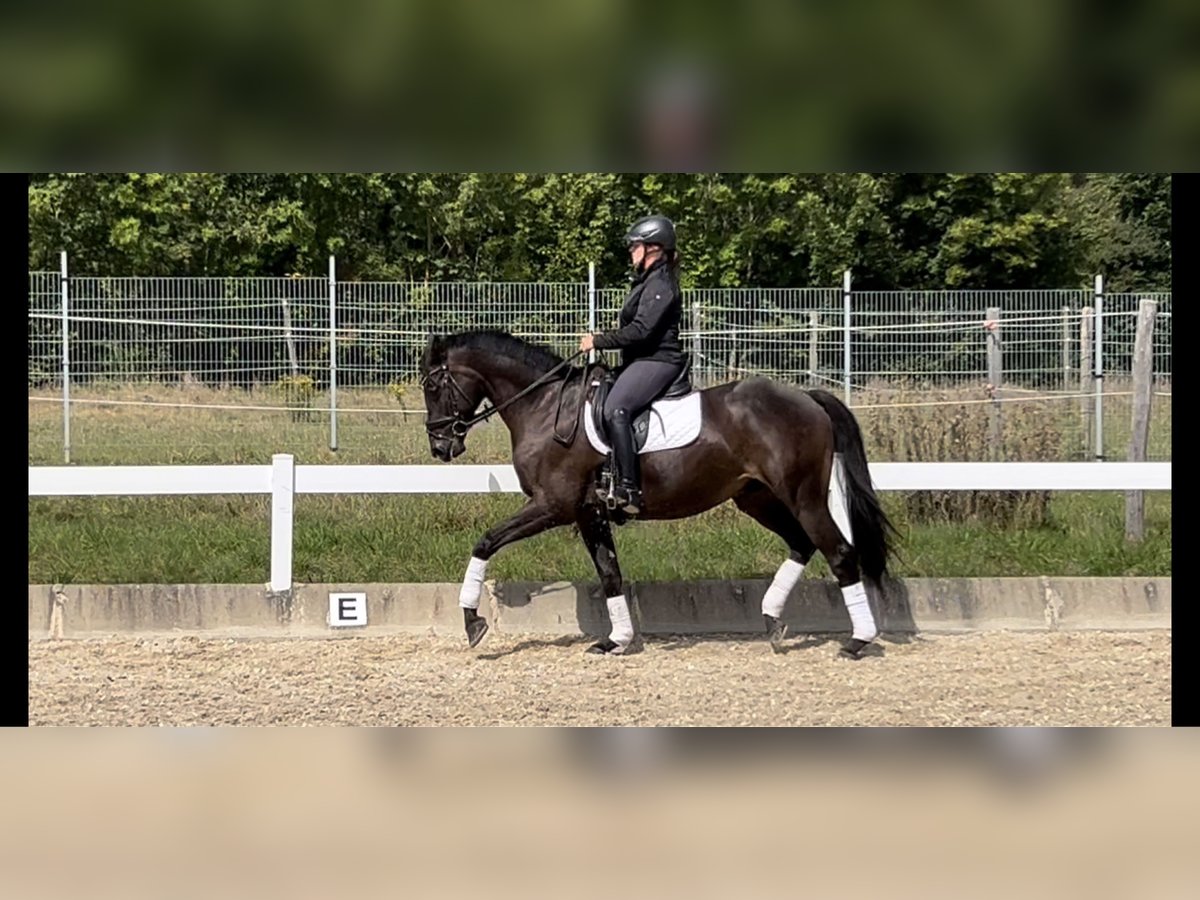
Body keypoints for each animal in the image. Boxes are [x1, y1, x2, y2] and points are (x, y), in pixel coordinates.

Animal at [417, 328, 897, 657]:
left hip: (804, 496)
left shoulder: (552, 506)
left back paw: (857, 641)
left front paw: (472, 621)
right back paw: (772, 620)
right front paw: (617, 639)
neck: (545, 406)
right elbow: (610, 573)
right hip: (756, 497)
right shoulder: (588, 513)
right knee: (802, 543)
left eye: (433, 385)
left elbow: (485, 541)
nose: (441, 446)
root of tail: (809, 399)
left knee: (839, 552)